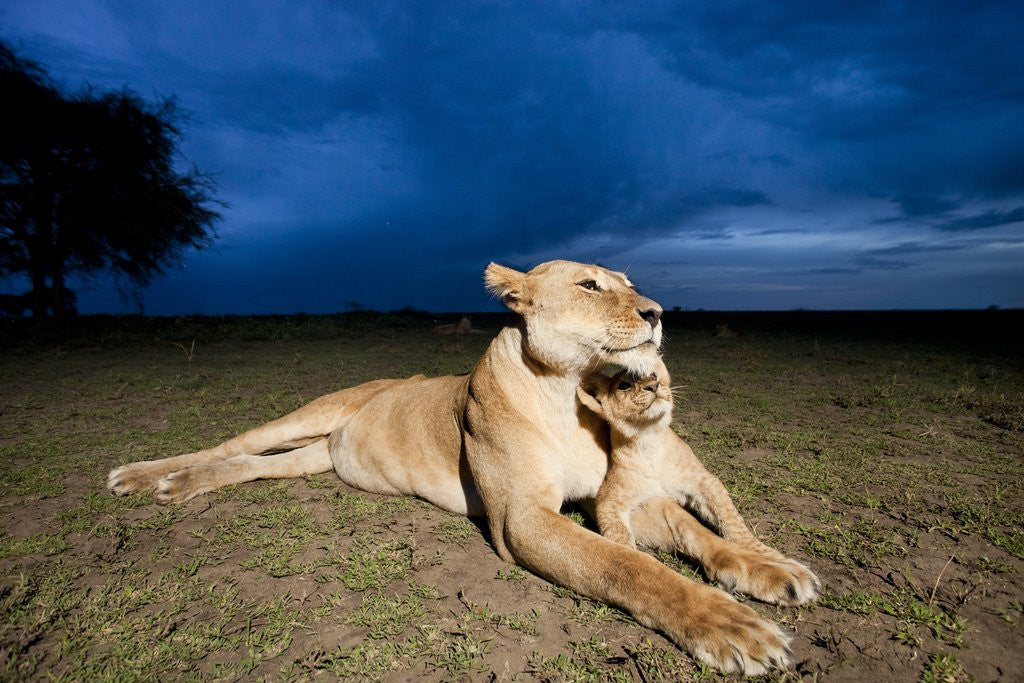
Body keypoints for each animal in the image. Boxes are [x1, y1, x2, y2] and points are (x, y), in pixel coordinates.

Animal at [577, 357, 820, 605]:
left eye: (653, 376)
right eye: (624, 385)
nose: (653, 386)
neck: (649, 441)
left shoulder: (703, 482)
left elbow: (734, 524)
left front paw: (770, 556)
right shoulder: (611, 501)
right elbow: (620, 537)